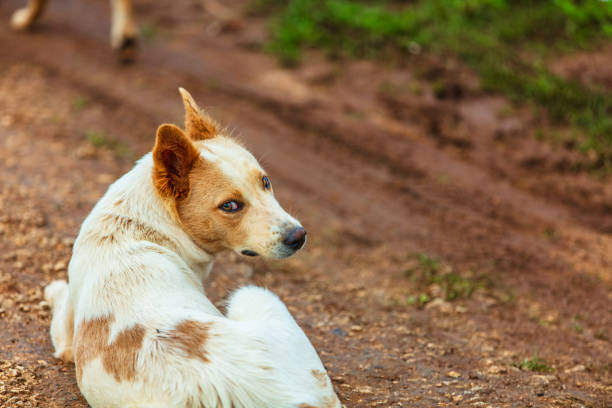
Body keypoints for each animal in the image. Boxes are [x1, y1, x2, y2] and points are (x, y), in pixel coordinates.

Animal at [45, 87, 342, 406]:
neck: (139, 227)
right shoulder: (65, 342)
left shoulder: (66, 337)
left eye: (265, 181)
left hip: (252, 295)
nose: (299, 236)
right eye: (230, 206)